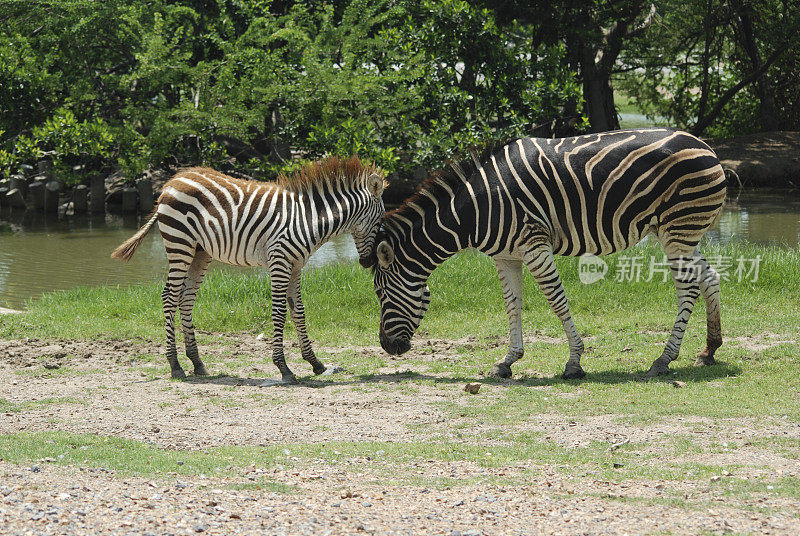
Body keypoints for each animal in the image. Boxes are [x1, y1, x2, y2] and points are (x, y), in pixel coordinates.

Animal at [113, 157, 388, 384]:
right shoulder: (280, 261)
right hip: (179, 243)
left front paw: (315, 363)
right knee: (169, 298)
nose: (367, 263)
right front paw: (283, 368)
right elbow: (279, 313)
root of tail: (172, 181)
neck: (309, 221)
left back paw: (197, 363)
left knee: (186, 299)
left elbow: (298, 312)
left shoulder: (296, 266)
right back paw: (175, 365)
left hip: (199, 252)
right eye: (380, 221)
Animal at [372, 129, 728, 382]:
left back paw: (664, 359)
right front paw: (508, 361)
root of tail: (707, 147)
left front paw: (574, 362)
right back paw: (709, 349)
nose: (387, 347)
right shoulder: (506, 256)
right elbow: (512, 305)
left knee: (688, 288)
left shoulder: (534, 244)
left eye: (381, 294)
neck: (475, 208)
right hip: (680, 232)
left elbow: (556, 300)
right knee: (709, 276)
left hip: (678, 228)